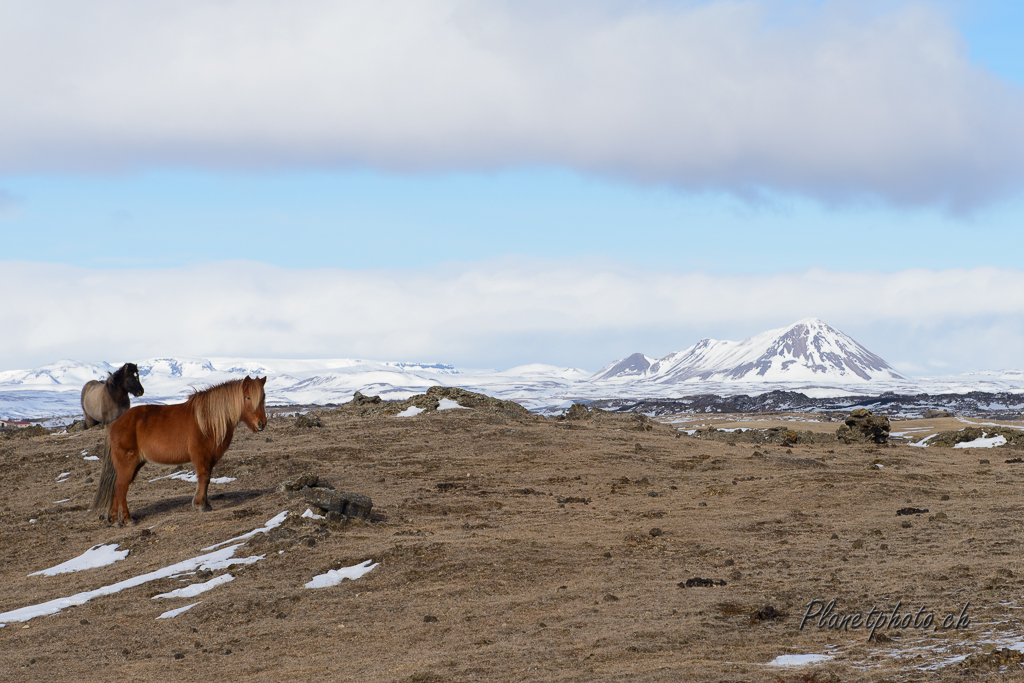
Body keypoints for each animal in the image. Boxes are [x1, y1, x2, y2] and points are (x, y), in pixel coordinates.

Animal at [93, 376, 268, 528]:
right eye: (248, 398)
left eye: (263, 397)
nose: (261, 423)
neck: (207, 420)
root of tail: (115, 423)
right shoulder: (201, 456)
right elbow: (204, 478)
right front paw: (200, 505)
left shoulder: (210, 458)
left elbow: (207, 480)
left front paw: (205, 504)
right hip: (128, 464)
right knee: (121, 487)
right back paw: (127, 519)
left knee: (117, 488)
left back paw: (114, 520)